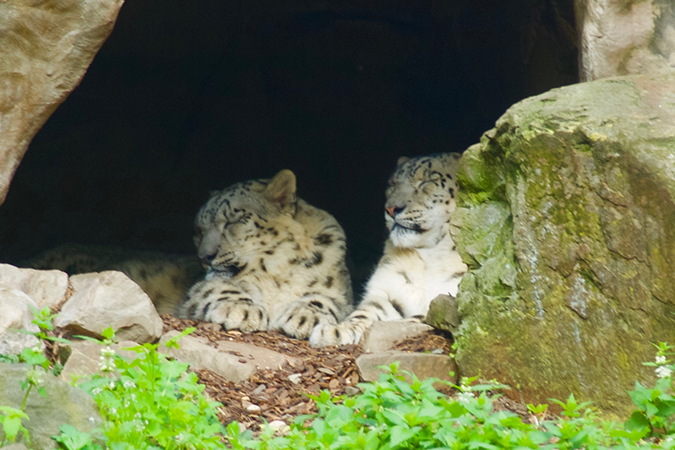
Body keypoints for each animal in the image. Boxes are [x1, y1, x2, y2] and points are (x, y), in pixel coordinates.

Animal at [177, 171, 354, 340]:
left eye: (233, 221)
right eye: (199, 231)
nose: (205, 257)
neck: (276, 276)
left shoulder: (340, 293)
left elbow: (327, 299)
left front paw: (306, 317)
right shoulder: (199, 287)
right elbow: (215, 287)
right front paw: (241, 309)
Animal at [308, 153, 468, 346]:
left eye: (428, 181)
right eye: (393, 183)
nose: (391, 209)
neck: (429, 257)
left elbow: (418, 317)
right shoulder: (386, 291)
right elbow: (366, 311)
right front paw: (335, 331)